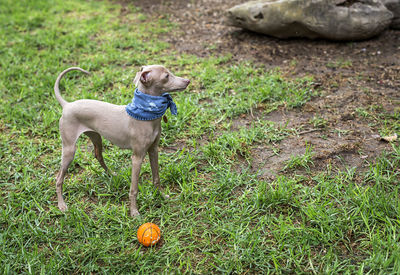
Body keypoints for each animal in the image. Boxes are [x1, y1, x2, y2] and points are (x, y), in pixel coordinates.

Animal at [54, 66, 191, 217]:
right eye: (166, 76)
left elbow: (156, 177)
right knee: (59, 178)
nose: (187, 81)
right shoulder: (137, 157)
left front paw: (161, 195)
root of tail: (67, 105)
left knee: (98, 155)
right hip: (69, 149)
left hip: (96, 137)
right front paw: (134, 212)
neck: (146, 115)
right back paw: (61, 205)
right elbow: (134, 189)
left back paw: (111, 174)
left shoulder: (153, 150)